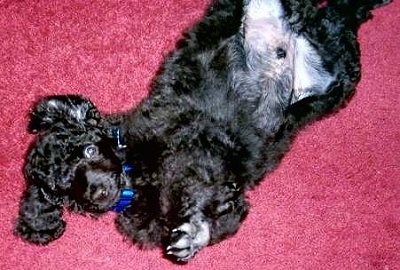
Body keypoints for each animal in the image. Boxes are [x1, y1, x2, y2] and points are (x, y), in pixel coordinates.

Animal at [15, 0, 390, 262]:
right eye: (64, 186)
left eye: (90, 150)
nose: (99, 193)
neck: (131, 166)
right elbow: (221, 213)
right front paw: (203, 227)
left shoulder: (195, 149)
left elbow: (186, 189)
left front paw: (196, 231)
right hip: (336, 78)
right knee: (341, 19)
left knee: (340, 11)